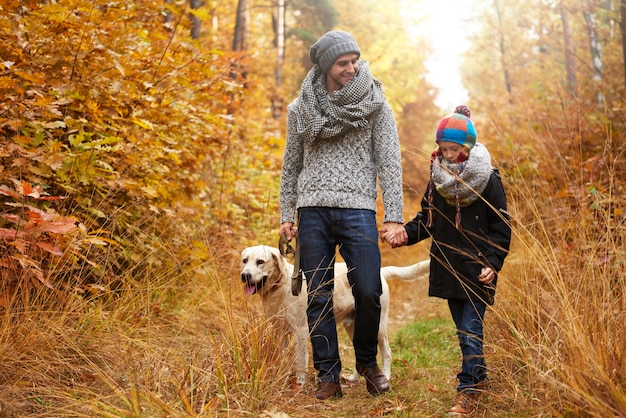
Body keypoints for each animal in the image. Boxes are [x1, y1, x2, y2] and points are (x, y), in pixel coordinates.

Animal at [239, 243, 428, 390]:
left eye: (260, 262)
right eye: (245, 261)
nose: (245, 275)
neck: (281, 287)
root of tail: (381, 272)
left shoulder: (301, 330)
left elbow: (300, 361)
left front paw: (299, 384)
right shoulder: (280, 331)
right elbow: (280, 355)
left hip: (378, 326)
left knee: (386, 351)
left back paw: (386, 377)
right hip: (353, 327)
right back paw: (353, 379)